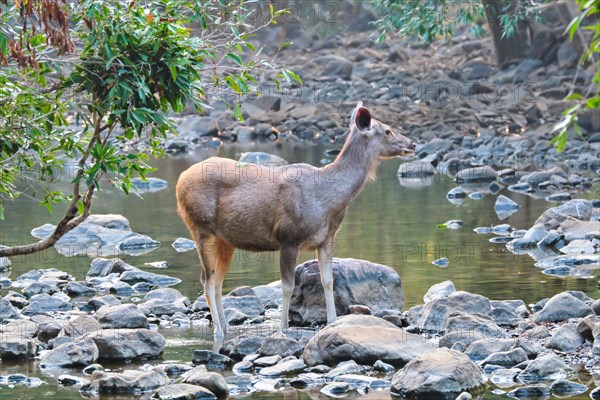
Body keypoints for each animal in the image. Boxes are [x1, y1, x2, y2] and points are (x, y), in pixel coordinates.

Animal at [176, 102, 414, 338]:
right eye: (387, 130)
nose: (412, 143)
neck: (327, 199)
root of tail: (180, 180)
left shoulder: (327, 238)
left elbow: (328, 281)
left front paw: (332, 321)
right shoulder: (288, 237)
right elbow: (287, 286)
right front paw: (284, 327)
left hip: (225, 240)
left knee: (217, 280)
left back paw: (225, 326)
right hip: (200, 228)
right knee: (207, 279)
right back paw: (218, 330)